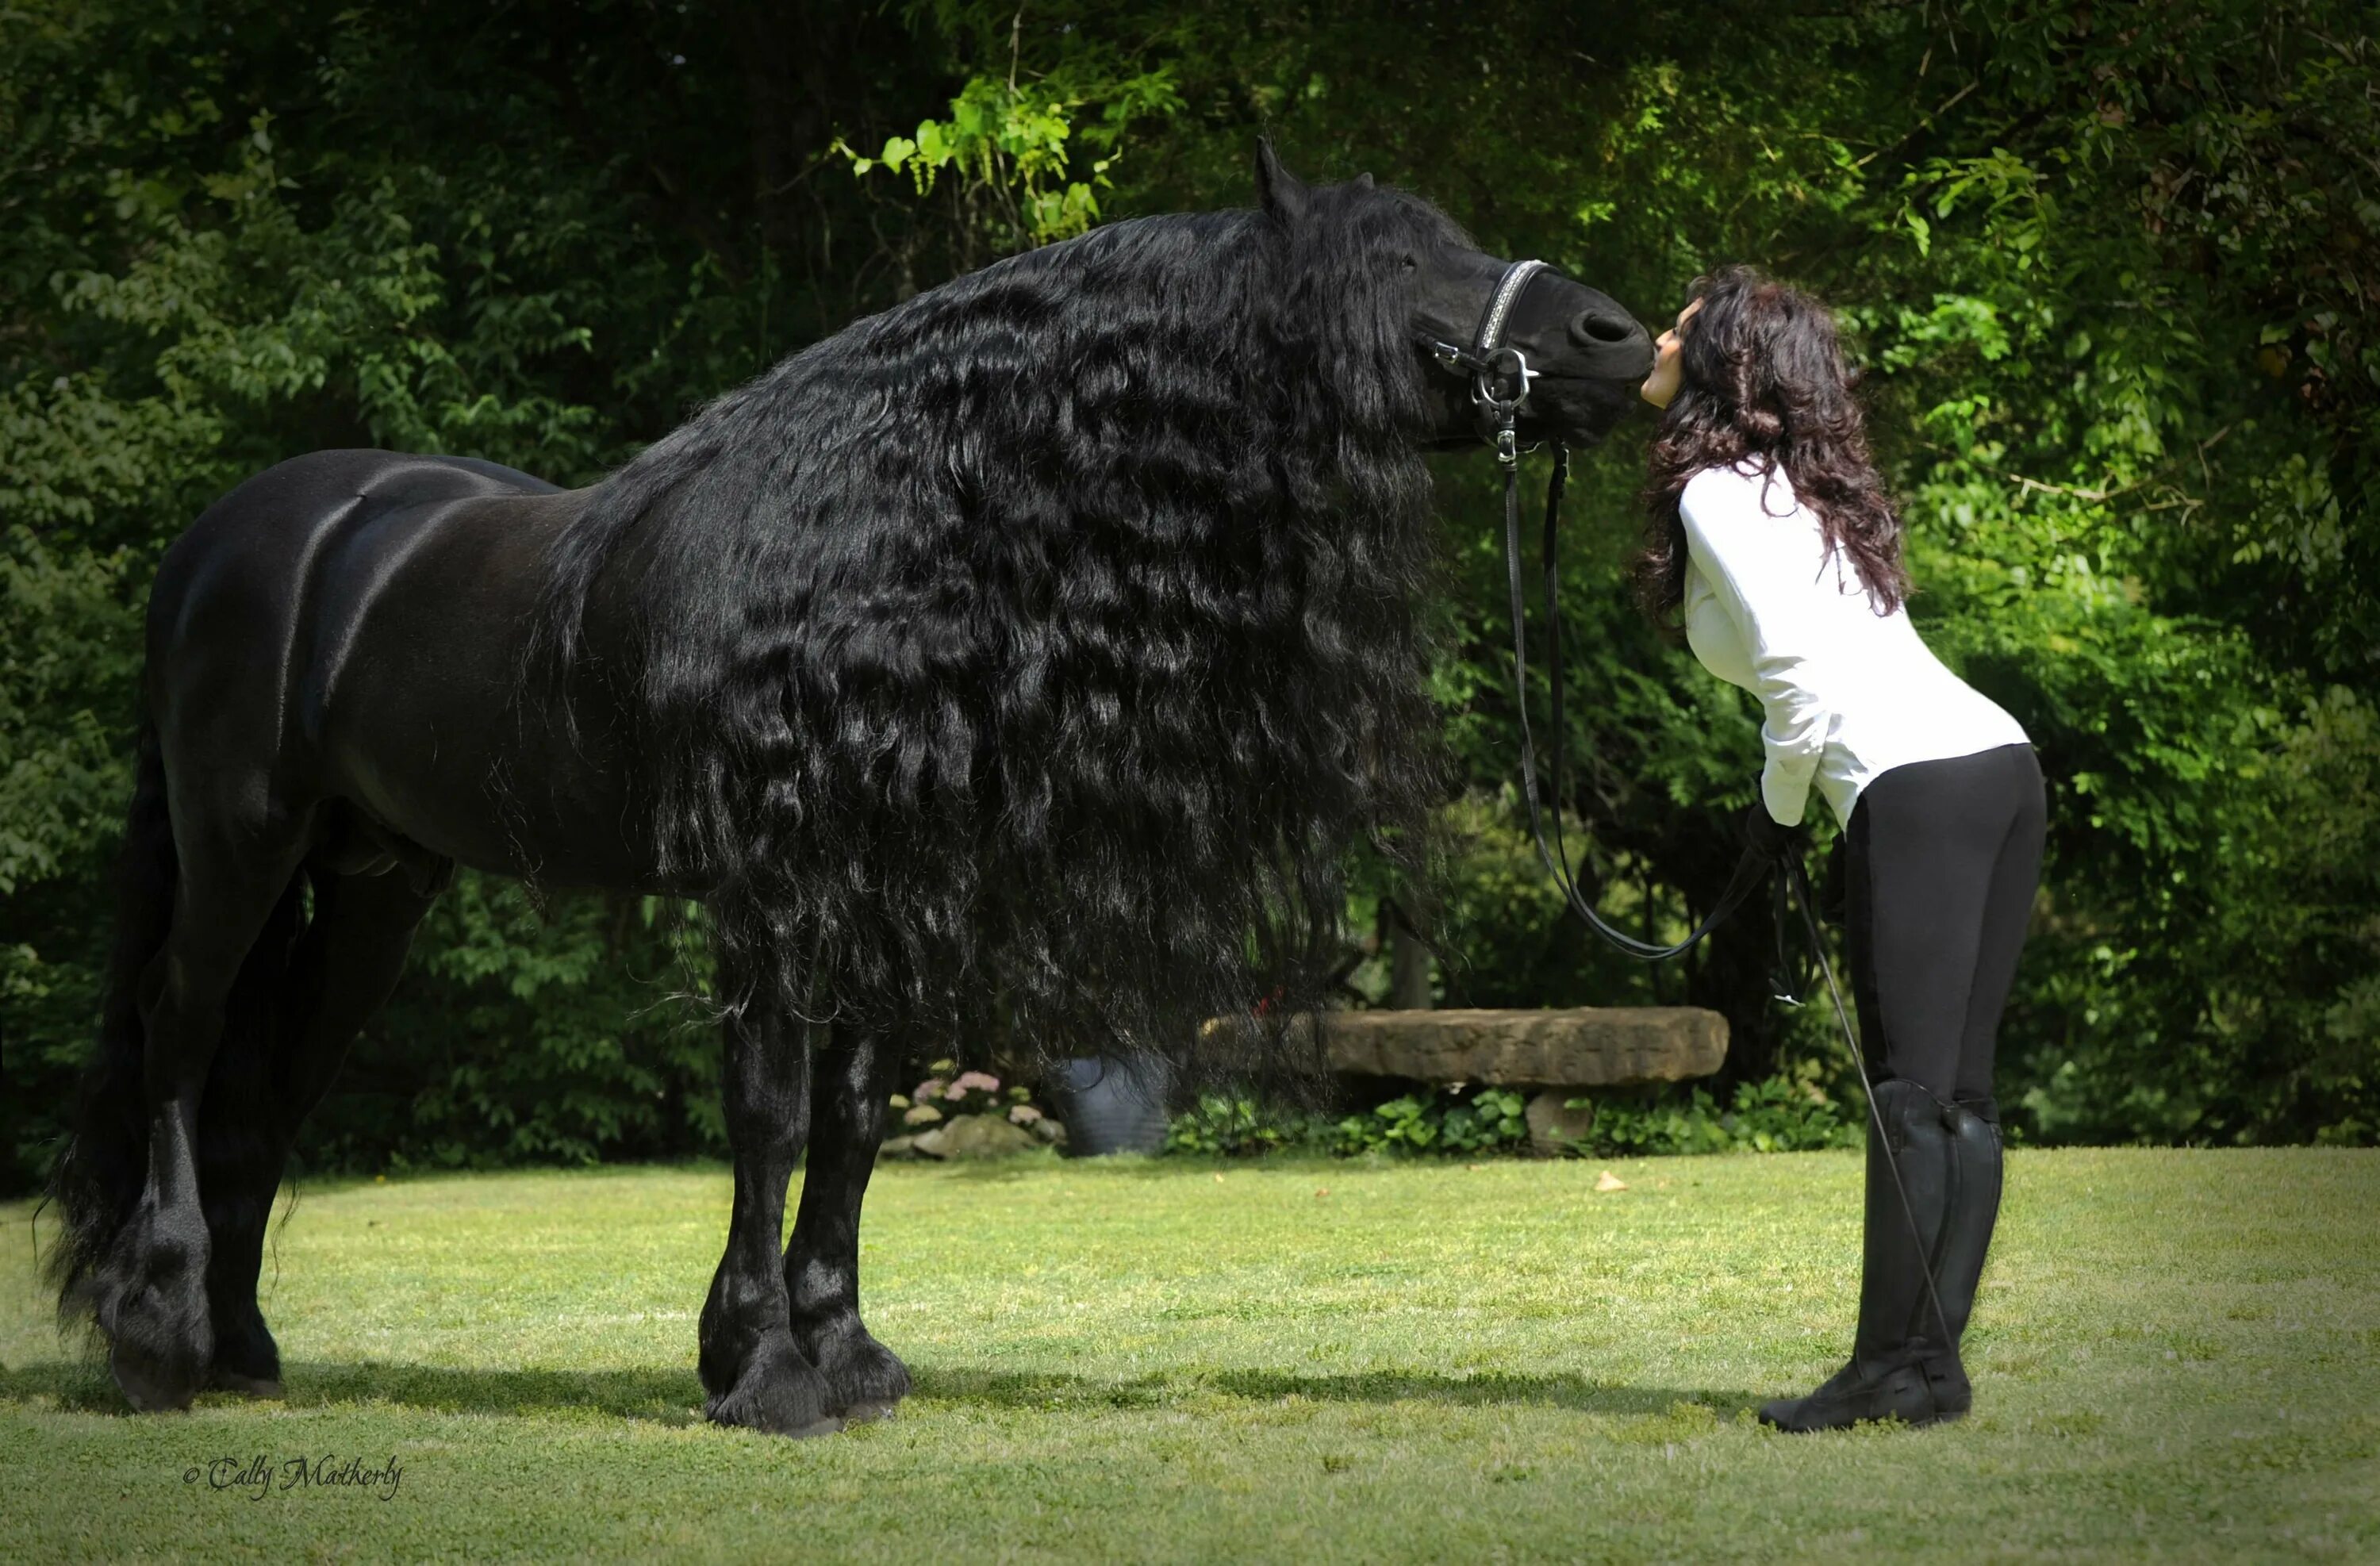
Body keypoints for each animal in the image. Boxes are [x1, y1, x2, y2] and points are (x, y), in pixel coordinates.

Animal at [46, 143, 1647, 1428]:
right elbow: (765, 1117)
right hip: (241, 844)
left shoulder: (886, 888)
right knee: (183, 1036)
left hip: (375, 883)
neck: (880, 535)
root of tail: (244, 535)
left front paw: (846, 1353)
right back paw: (155, 1334)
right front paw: (758, 1366)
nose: (1617, 335)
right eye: (1395, 262)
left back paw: (241, 1348)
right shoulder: (768, 893)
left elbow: (857, 1122)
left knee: (272, 1083)